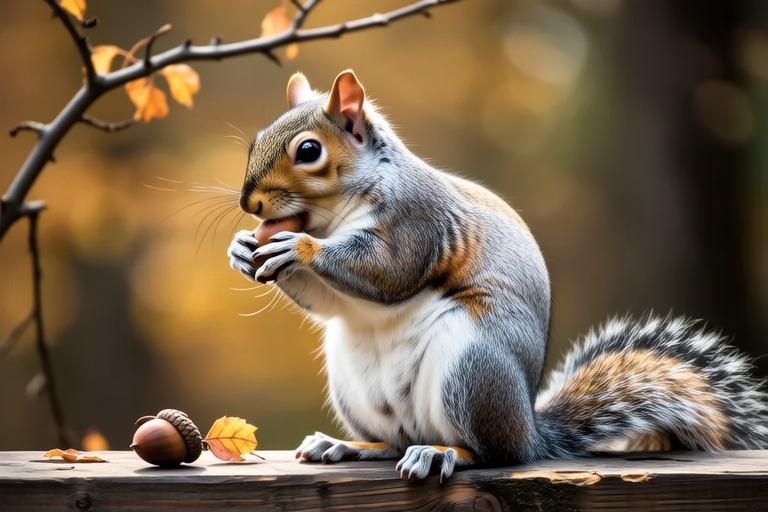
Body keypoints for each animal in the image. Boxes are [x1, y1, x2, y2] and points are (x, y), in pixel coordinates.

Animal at [227, 70, 768, 480]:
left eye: (309, 151)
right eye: (255, 141)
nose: (250, 204)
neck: (333, 216)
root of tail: (530, 431)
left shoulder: (417, 222)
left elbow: (389, 270)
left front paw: (298, 247)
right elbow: (329, 303)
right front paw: (243, 249)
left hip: (472, 367)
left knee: (491, 453)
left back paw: (443, 453)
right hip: (356, 386)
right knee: (394, 440)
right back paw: (349, 446)